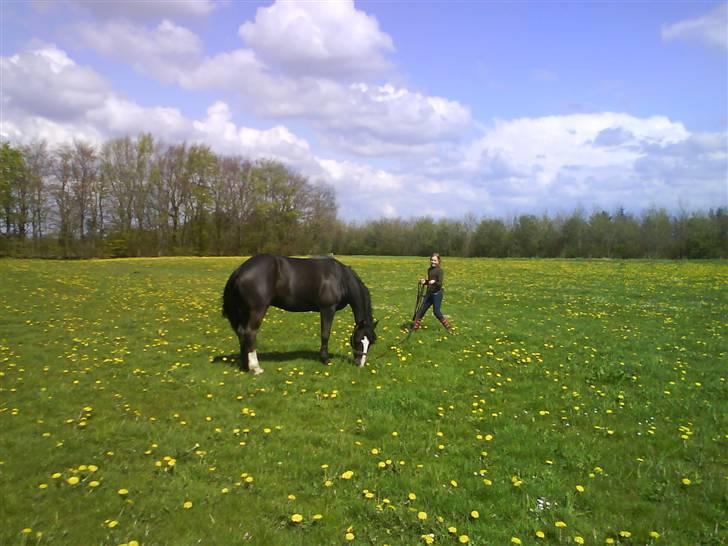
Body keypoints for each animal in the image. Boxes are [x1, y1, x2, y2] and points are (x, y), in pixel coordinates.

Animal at [222, 253, 378, 372]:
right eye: (358, 340)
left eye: (371, 342)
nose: (360, 364)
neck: (340, 278)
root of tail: (240, 270)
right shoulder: (327, 308)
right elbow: (325, 334)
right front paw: (325, 359)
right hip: (257, 310)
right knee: (250, 333)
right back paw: (256, 368)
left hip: (243, 311)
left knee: (241, 333)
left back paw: (245, 366)